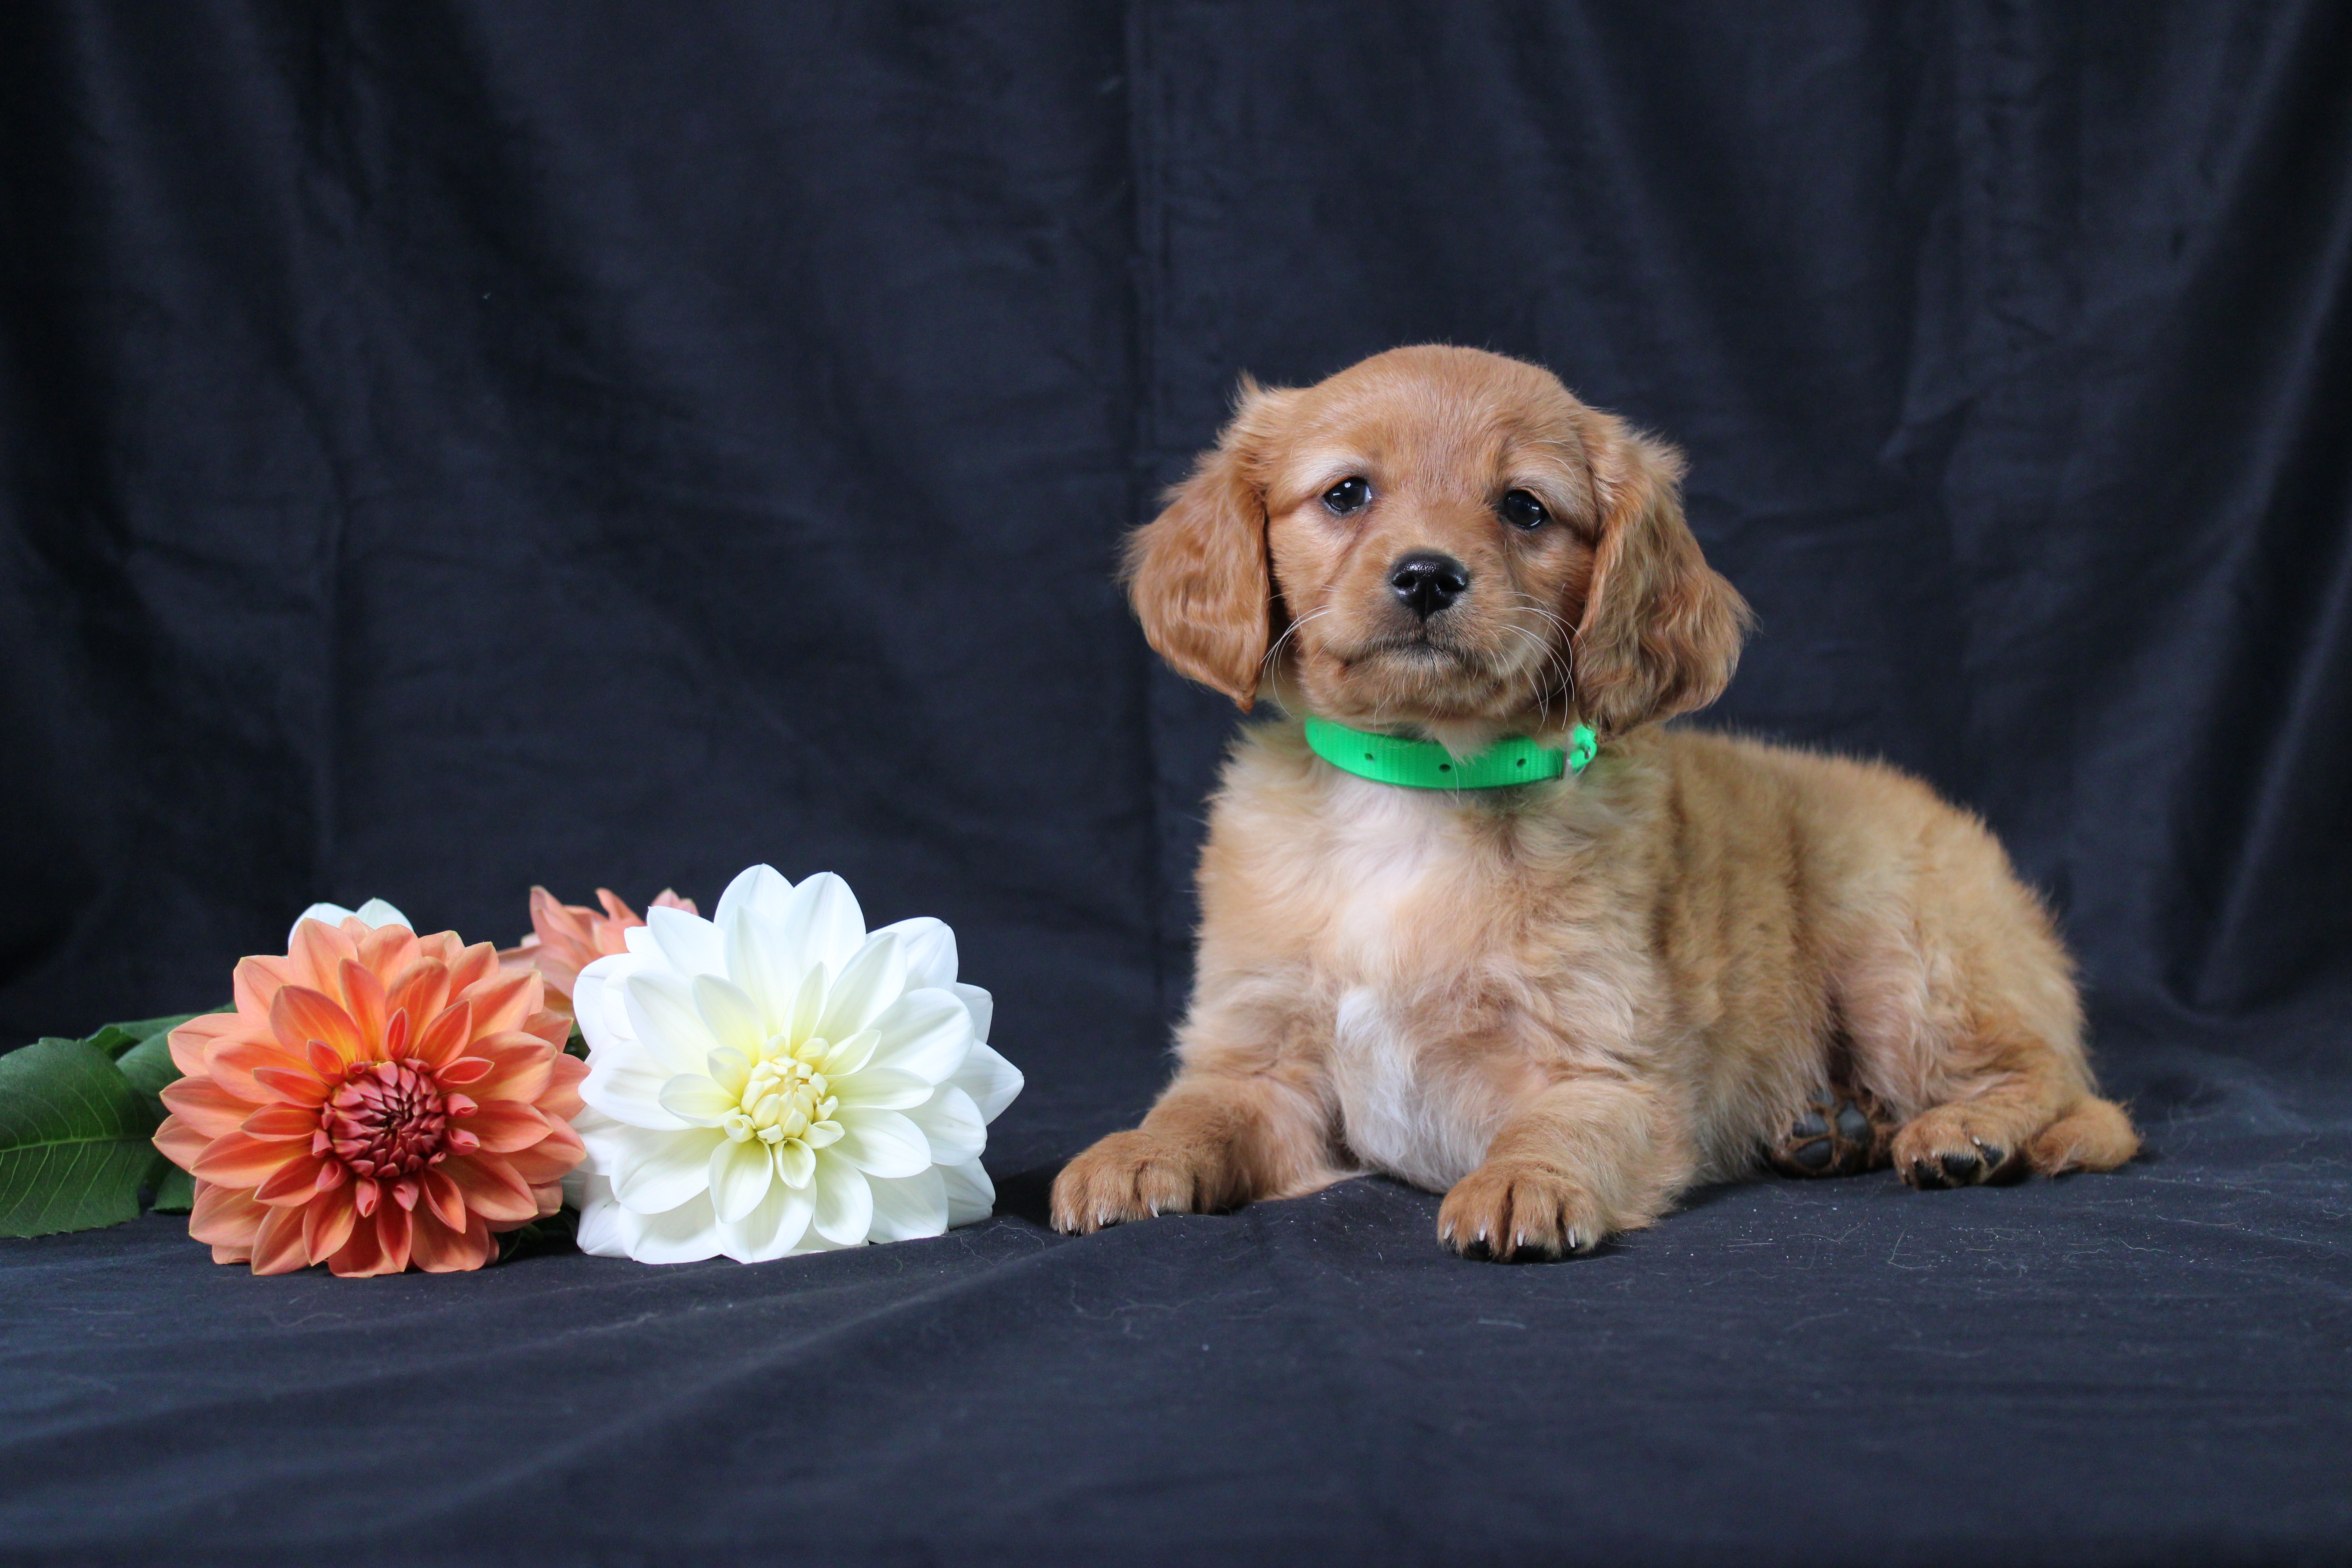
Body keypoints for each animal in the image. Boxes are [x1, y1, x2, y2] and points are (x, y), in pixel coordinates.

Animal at [1058, 345, 2145, 1260]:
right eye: (1347, 493)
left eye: (1524, 508)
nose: (1427, 576)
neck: (1421, 785)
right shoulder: (1263, 1059)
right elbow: (1199, 1110)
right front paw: (1132, 1153)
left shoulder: (1608, 1066)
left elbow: (1557, 1126)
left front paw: (1524, 1184)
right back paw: (1833, 1126)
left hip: (1904, 956)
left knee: (2057, 1082)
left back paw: (1961, 1132)